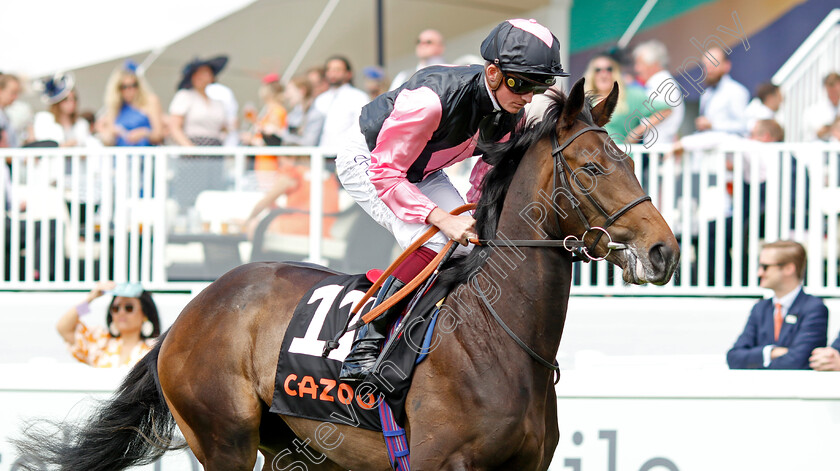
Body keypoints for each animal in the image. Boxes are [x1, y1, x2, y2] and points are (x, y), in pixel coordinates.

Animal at [13, 78, 680, 471]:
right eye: (591, 168)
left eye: (630, 160)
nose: (665, 251)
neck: (499, 341)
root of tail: (188, 314)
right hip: (224, 439)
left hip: (298, 450)